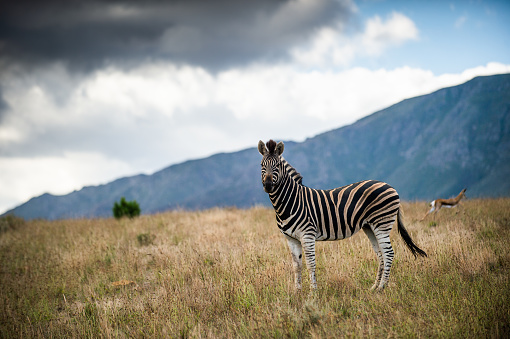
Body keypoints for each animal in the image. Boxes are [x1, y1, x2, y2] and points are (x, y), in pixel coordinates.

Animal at [256, 139, 428, 290]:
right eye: (262, 165)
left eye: (277, 165)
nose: (268, 185)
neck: (289, 201)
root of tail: (390, 186)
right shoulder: (291, 239)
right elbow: (297, 266)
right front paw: (297, 293)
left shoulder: (307, 235)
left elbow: (311, 264)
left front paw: (313, 293)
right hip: (370, 226)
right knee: (380, 254)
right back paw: (374, 287)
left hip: (382, 223)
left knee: (389, 254)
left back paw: (382, 287)